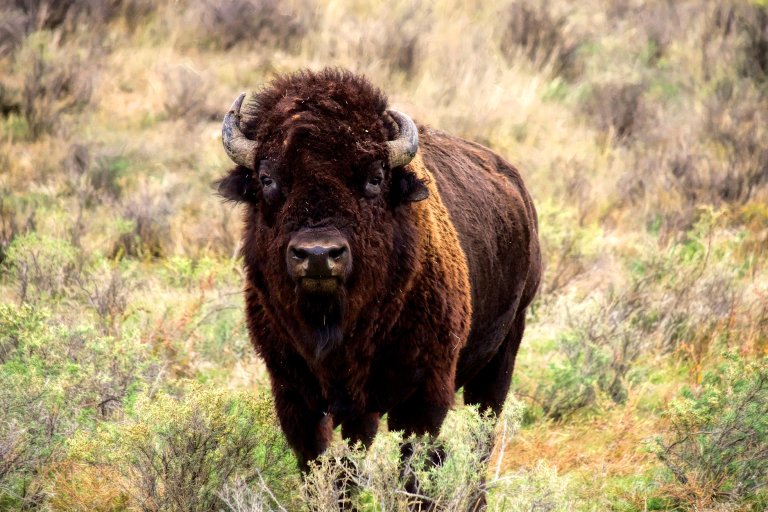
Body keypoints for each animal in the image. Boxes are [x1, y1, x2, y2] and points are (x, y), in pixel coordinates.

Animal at [217, 68, 541, 471]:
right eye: (267, 178)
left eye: (374, 178)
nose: (318, 254)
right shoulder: (296, 396)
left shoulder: (423, 397)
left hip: (502, 354)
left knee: (480, 437)